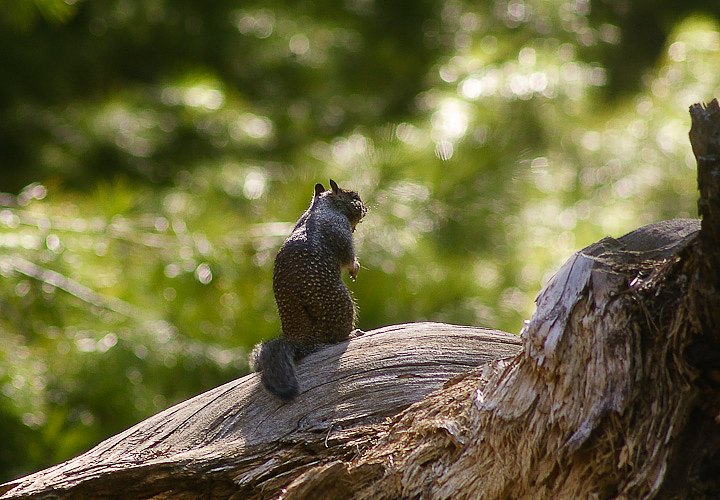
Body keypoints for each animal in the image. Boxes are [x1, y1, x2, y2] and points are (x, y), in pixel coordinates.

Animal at [249, 179, 368, 401]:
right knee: (332, 340)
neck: (322, 207)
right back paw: (352, 334)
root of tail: (301, 340)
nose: (365, 208)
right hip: (345, 305)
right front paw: (354, 268)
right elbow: (348, 256)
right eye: (354, 197)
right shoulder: (340, 229)